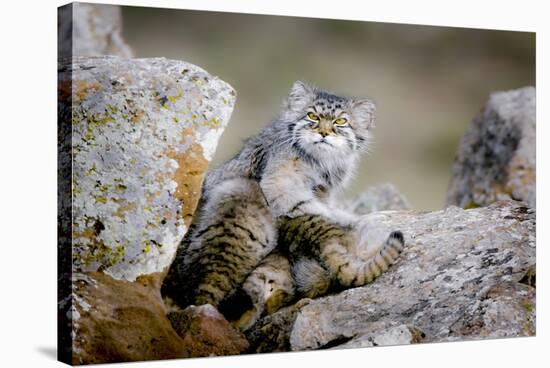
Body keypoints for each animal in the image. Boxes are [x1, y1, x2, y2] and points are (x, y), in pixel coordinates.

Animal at [161, 80, 406, 328]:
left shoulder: (323, 191)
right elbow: (306, 206)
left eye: (341, 121)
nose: (323, 133)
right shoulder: (281, 181)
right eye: (312, 116)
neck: (320, 162)